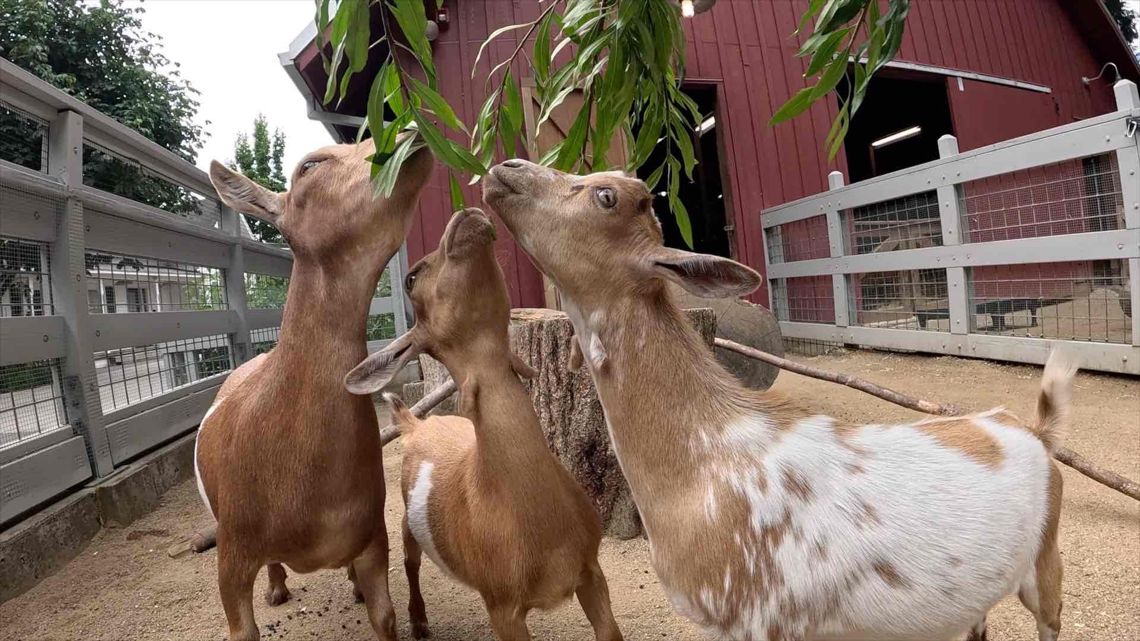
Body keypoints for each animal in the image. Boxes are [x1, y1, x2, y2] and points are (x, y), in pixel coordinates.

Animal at [195, 137, 433, 641]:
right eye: (309, 166)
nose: (409, 136)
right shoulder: (232, 552)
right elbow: (243, 629)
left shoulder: (372, 535)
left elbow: (385, 615)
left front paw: (368, 596)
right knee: (273, 567)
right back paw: (277, 588)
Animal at [343, 208, 624, 641]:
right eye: (411, 278)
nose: (466, 215)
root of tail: (415, 424)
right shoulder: (502, 606)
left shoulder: (591, 572)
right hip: (406, 517)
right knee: (410, 561)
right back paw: (419, 621)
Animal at [483, 159, 1076, 641]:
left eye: (606, 196)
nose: (504, 168)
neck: (703, 463)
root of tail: (1036, 431)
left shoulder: (762, 620)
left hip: (1045, 562)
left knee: (1050, 618)